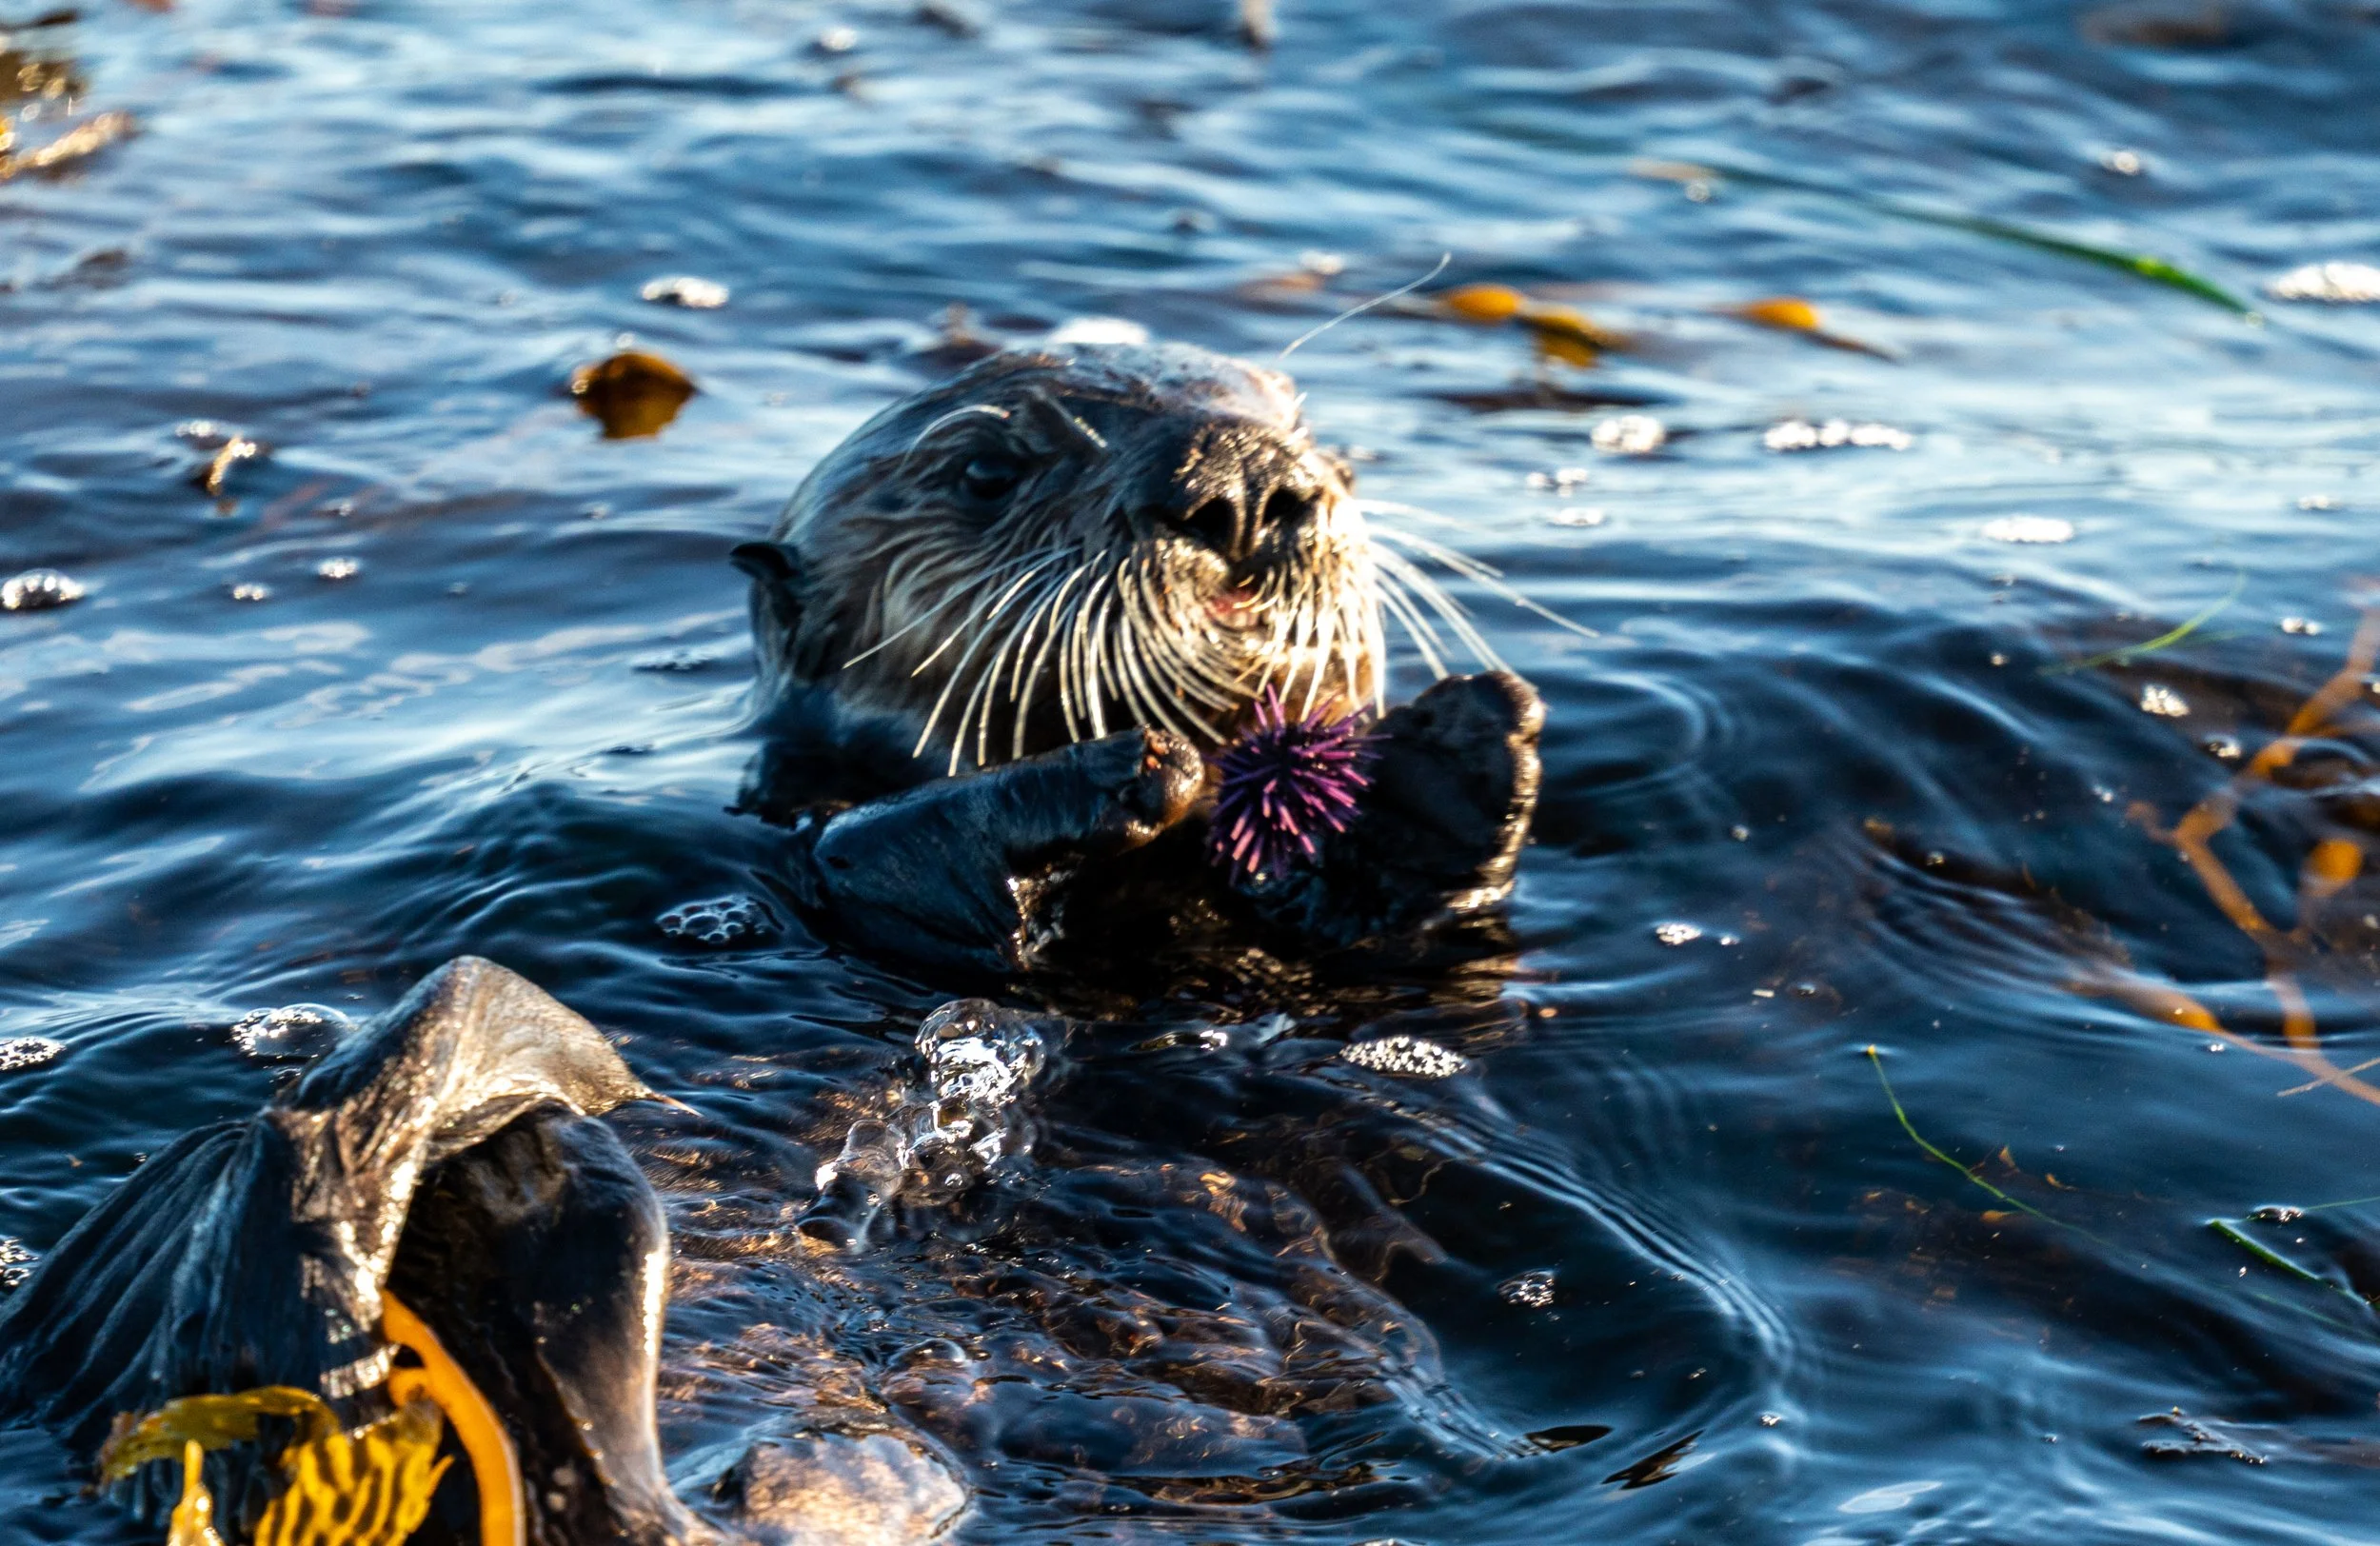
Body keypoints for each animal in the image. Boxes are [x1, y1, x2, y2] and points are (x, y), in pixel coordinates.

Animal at [734, 343, 1545, 981]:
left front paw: (1450, 756)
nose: (1243, 476)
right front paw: (1105, 773)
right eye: (986, 472)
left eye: (1305, 431)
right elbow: (860, 849)